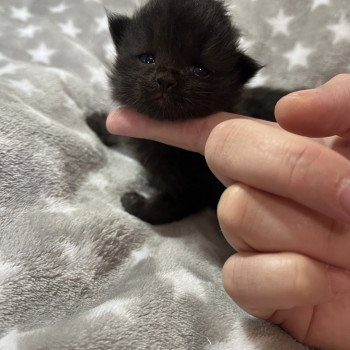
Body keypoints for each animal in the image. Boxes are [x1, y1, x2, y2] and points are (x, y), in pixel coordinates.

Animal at [87, 0, 284, 224]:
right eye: (147, 59)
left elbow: (164, 207)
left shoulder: (193, 188)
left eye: (199, 70)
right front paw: (98, 121)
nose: (165, 79)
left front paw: (135, 203)